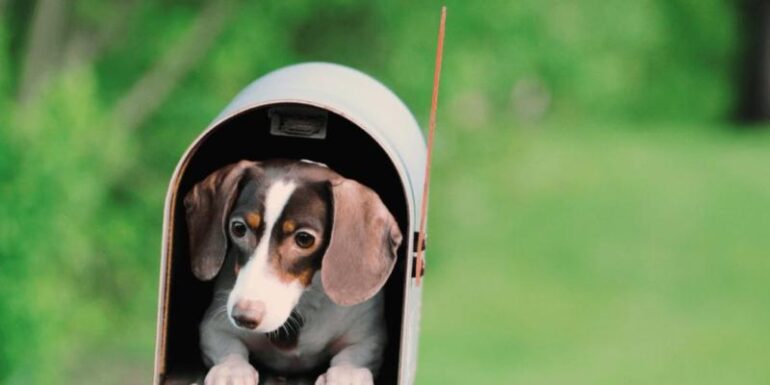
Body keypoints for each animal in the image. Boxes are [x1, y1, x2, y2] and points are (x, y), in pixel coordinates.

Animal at [184, 158, 402, 384]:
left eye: (304, 239)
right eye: (238, 228)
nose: (243, 317)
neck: (303, 304)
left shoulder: (368, 339)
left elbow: (351, 359)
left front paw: (346, 375)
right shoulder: (213, 327)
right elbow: (230, 348)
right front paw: (231, 371)